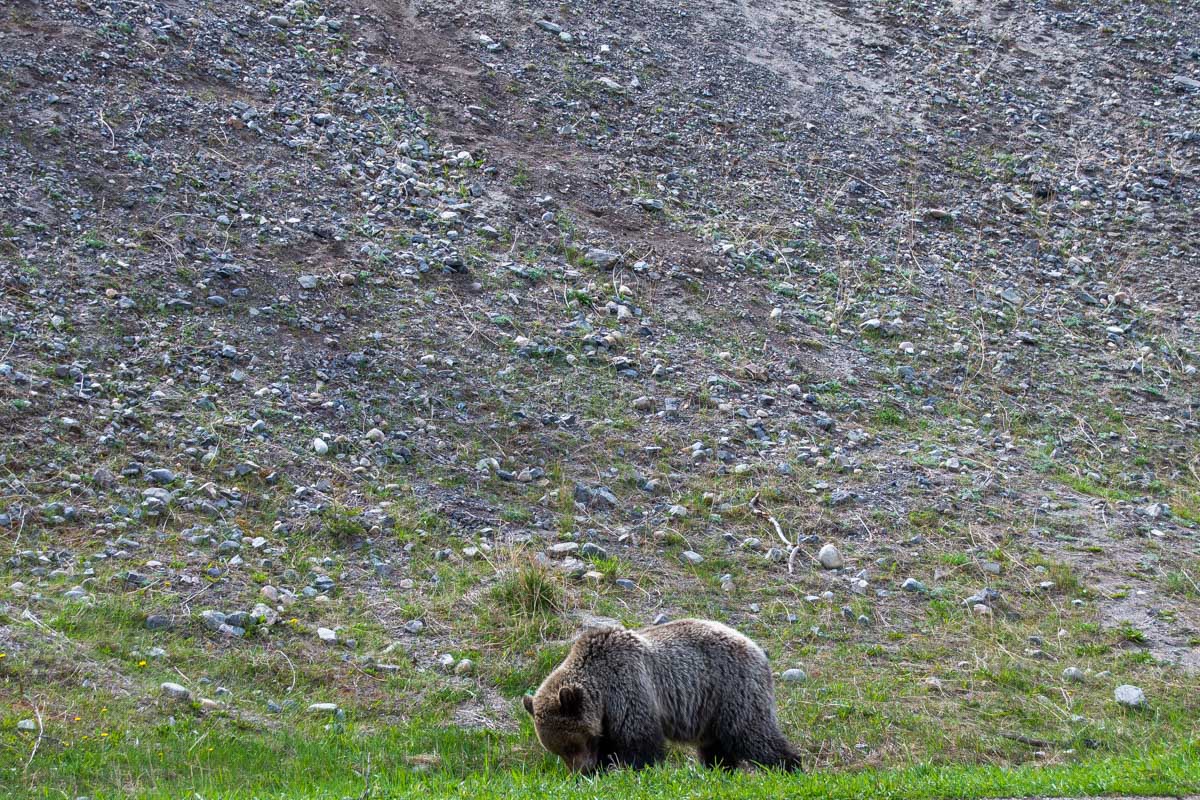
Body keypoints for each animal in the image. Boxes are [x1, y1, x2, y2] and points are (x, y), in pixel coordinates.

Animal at [522, 618, 800, 773]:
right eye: (558, 750)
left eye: (571, 745)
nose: (580, 772)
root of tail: (757, 649)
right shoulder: (605, 719)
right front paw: (600, 770)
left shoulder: (629, 687)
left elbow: (640, 741)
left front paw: (634, 770)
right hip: (710, 712)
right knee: (716, 748)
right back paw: (719, 771)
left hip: (732, 690)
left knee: (752, 734)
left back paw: (790, 766)